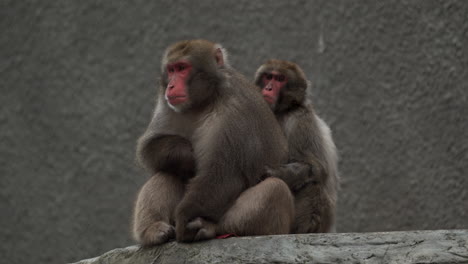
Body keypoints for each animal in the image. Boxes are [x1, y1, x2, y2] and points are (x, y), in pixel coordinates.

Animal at [133, 39, 292, 245]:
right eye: (171, 69)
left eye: (182, 68)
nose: (171, 86)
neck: (203, 102)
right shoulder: (166, 103)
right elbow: (149, 146)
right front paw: (186, 154)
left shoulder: (236, 110)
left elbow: (223, 174)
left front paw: (185, 224)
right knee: (166, 172)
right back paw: (154, 230)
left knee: (275, 188)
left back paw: (208, 228)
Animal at [254, 59, 338, 233]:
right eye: (268, 76)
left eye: (280, 79)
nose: (268, 88)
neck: (282, 110)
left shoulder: (300, 120)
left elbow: (315, 168)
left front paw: (270, 172)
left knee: (313, 185)